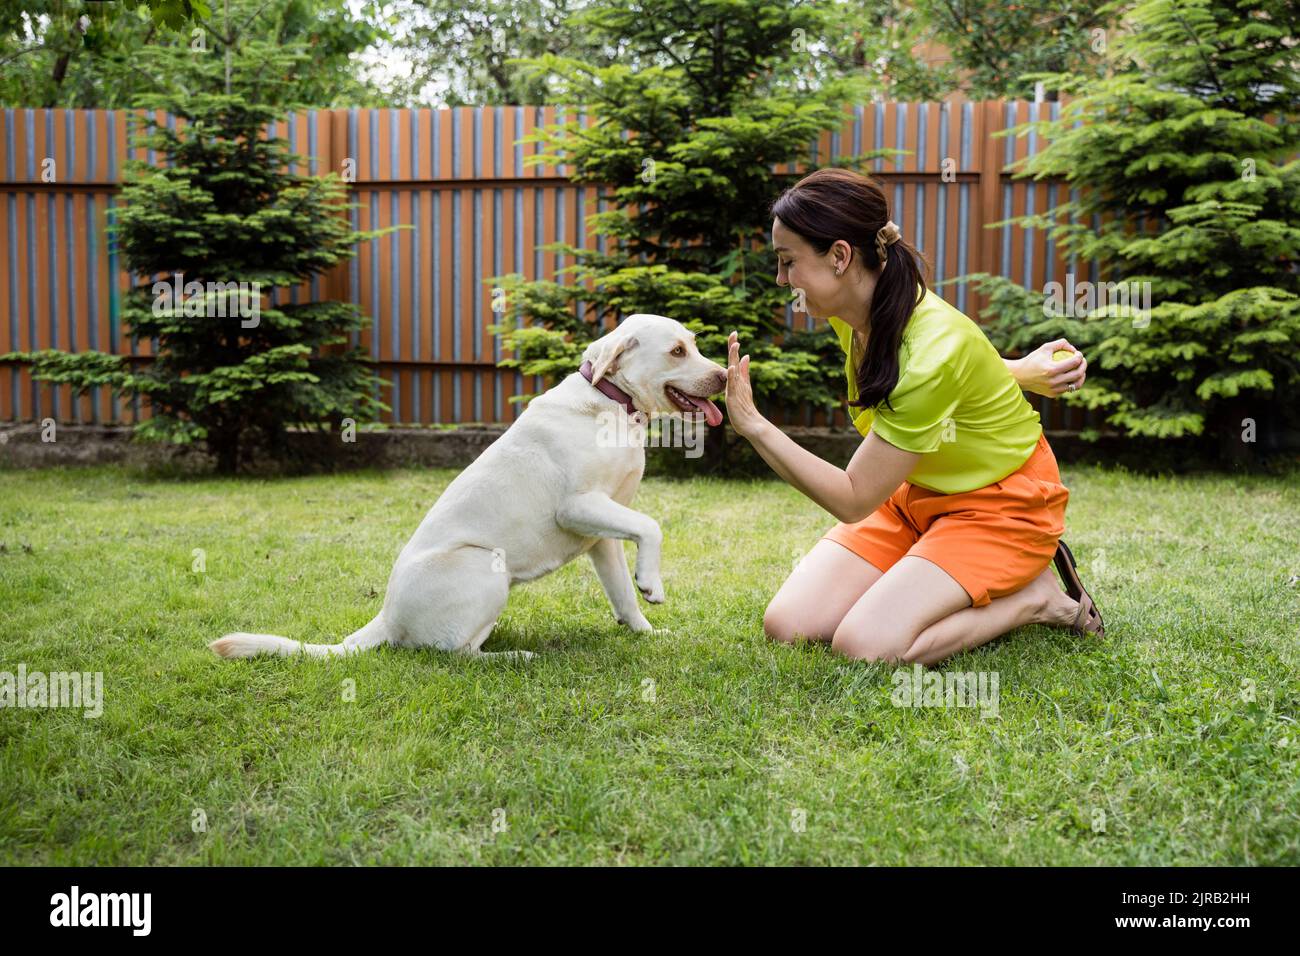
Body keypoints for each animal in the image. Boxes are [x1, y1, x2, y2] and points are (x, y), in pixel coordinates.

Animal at [208, 314, 728, 658]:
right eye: (678, 351)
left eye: (694, 344)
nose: (725, 376)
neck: (612, 404)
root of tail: (386, 619)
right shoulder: (578, 507)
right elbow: (652, 526)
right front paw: (652, 583)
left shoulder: (602, 536)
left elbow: (622, 592)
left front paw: (644, 628)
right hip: (486, 567)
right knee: (455, 655)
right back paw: (515, 657)